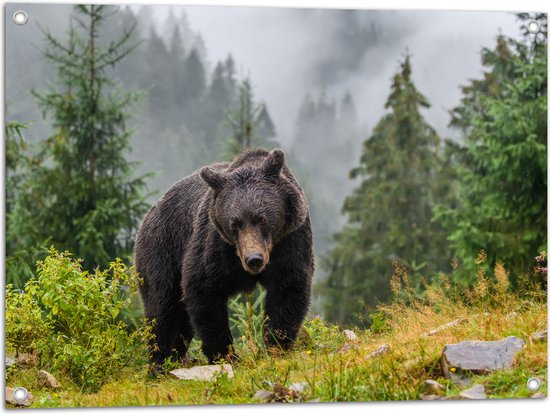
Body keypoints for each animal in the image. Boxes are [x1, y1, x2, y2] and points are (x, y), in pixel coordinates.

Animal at [135, 149, 314, 366]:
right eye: (235, 223)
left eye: (262, 218)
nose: (254, 259)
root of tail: (149, 213)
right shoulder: (216, 244)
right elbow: (203, 288)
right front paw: (225, 354)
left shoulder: (290, 239)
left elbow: (288, 286)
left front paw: (276, 345)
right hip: (162, 249)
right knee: (163, 309)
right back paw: (161, 360)